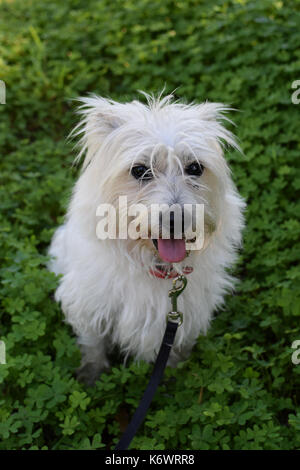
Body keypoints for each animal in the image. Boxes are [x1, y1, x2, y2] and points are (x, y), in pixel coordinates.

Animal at [49, 92, 245, 386]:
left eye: (195, 167)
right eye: (140, 170)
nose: (177, 220)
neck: (156, 268)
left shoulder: (183, 317)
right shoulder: (90, 303)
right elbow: (93, 343)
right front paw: (91, 374)